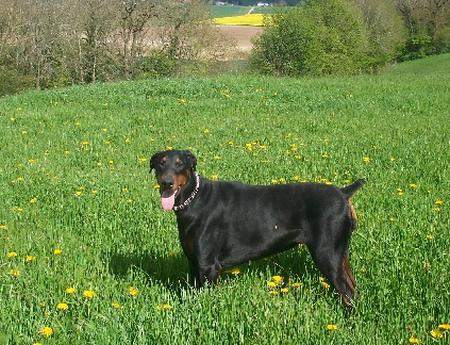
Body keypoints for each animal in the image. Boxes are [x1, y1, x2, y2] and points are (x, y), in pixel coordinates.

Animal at [149, 149, 364, 306]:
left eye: (180, 163)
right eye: (161, 163)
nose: (166, 182)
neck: (193, 200)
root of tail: (343, 193)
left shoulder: (207, 265)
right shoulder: (193, 261)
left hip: (327, 252)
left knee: (347, 291)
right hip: (339, 252)